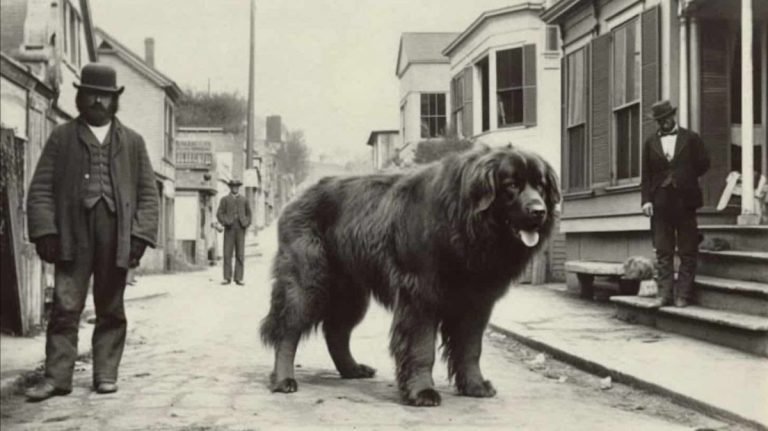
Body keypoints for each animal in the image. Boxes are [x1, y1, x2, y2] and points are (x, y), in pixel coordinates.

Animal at [260, 147, 560, 406]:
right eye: (511, 185)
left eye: (541, 185)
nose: (539, 211)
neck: (463, 222)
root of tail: (298, 197)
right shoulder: (420, 296)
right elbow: (421, 348)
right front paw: (421, 392)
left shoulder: (477, 303)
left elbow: (470, 349)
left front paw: (475, 386)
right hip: (306, 281)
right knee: (288, 330)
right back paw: (284, 380)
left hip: (352, 293)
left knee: (336, 332)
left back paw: (352, 369)